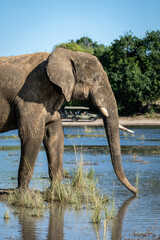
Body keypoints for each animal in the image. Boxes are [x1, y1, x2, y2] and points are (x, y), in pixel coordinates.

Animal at [0, 47, 138, 195]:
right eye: (95, 79)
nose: (136, 191)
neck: (69, 54)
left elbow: (54, 136)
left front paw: (54, 191)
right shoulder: (31, 94)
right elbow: (31, 135)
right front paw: (23, 193)